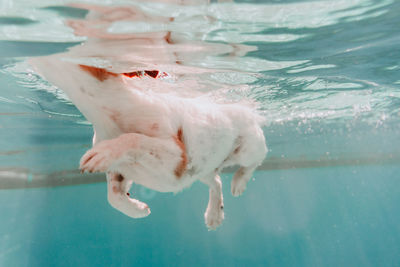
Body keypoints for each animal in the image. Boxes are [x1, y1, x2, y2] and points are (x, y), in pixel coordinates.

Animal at [31, 58, 268, 230]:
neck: (104, 111)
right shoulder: (122, 171)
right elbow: (113, 196)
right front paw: (138, 209)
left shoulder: (176, 157)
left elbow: (134, 138)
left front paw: (103, 153)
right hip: (201, 170)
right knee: (215, 181)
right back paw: (214, 214)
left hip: (248, 146)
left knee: (257, 158)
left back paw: (239, 182)